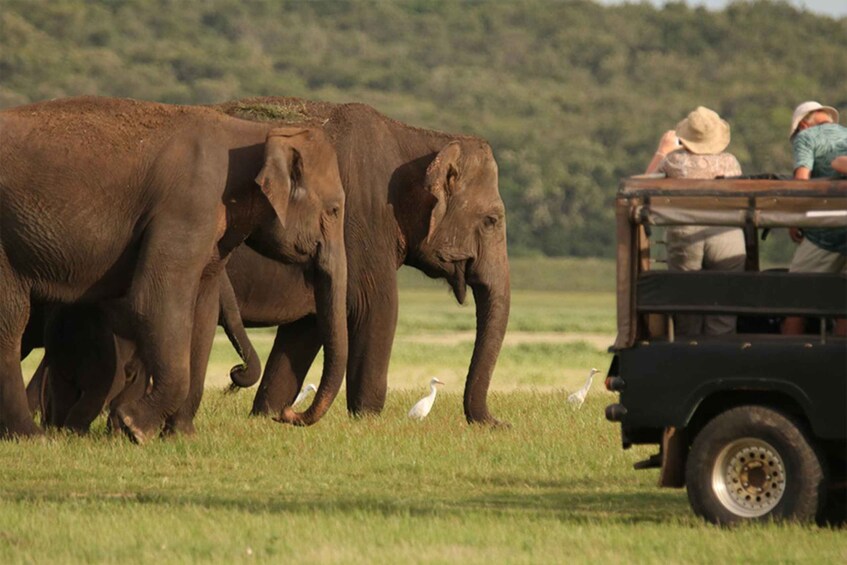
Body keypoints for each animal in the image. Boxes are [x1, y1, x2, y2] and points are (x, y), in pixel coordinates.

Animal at [0, 96, 347, 441]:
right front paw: (134, 428)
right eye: (334, 210)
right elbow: (156, 301)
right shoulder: (187, 206)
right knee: (12, 321)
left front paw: (181, 435)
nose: (287, 414)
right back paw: (32, 435)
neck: (256, 133)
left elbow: (203, 312)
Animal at [214, 98, 511, 425]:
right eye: (491, 220)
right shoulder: (363, 222)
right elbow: (377, 307)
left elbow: (308, 326)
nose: (501, 423)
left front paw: (270, 417)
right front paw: (368, 420)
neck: (414, 138)